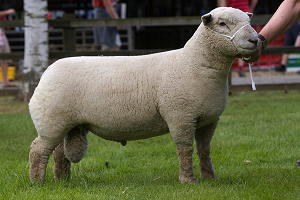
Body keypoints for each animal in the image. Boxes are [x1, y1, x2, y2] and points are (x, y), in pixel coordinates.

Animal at [28, 7, 258, 184]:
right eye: (222, 23)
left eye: (249, 21)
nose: (256, 39)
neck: (193, 64)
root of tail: (47, 72)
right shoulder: (180, 117)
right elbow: (185, 150)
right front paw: (188, 180)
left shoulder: (208, 120)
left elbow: (204, 150)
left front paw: (210, 178)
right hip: (50, 122)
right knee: (38, 150)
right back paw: (37, 182)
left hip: (66, 123)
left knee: (59, 153)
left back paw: (62, 180)